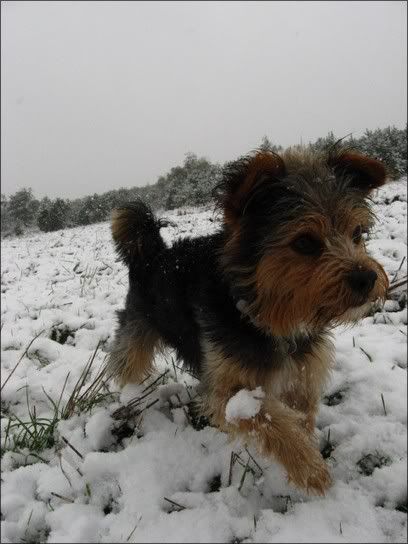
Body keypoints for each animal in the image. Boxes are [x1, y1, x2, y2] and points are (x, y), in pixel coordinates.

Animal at [106, 146, 389, 495]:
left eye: (358, 233)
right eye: (305, 242)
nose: (367, 278)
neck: (268, 317)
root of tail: (152, 254)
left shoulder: (303, 375)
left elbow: (300, 415)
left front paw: (306, 452)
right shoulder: (227, 391)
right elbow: (269, 419)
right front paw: (311, 471)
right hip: (136, 327)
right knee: (126, 362)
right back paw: (130, 398)